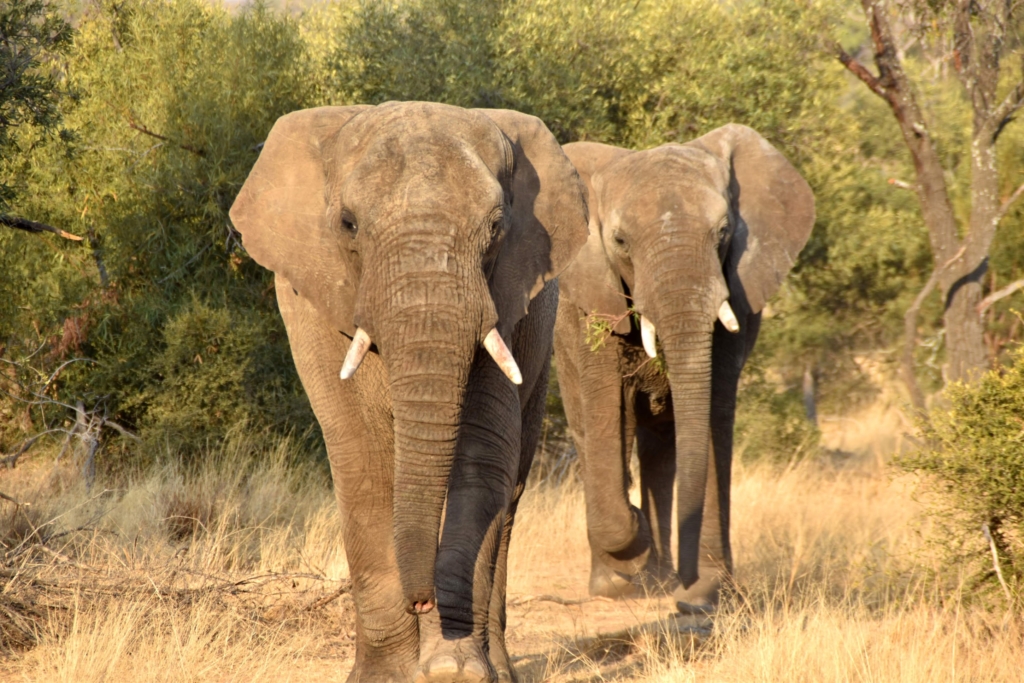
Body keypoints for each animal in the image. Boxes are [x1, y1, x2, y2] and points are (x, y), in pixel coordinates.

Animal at [228, 102, 588, 683]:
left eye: (496, 227)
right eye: (348, 225)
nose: (421, 600)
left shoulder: (507, 302)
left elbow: (481, 458)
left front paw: (455, 670)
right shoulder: (313, 307)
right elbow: (362, 459)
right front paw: (388, 676)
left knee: (511, 494)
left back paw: (499, 667)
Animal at [553, 125, 814, 614]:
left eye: (724, 231)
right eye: (620, 241)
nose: (687, 596)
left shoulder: (738, 295)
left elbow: (712, 414)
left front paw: (710, 591)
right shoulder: (593, 302)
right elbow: (606, 414)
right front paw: (631, 553)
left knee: (660, 453)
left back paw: (660, 577)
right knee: (599, 437)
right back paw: (625, 580)